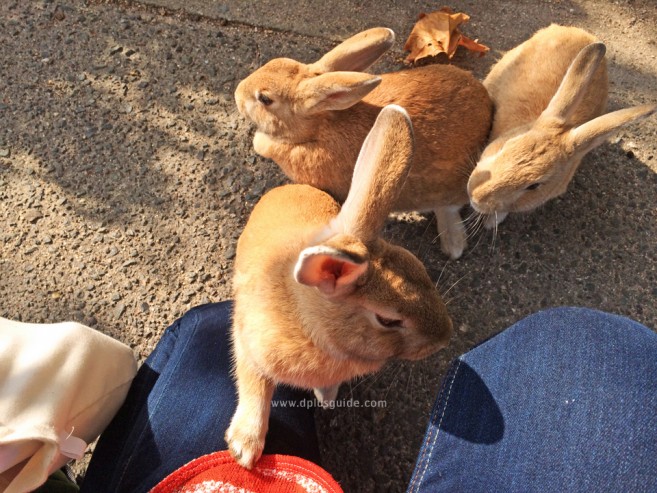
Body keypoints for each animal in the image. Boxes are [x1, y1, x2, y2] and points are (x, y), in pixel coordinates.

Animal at [224, 105, 452, 468]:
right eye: (388, 320)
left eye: (417, 264)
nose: (445, 338)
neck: (314, 327)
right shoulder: (249, 344)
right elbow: (254, 385)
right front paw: (245, 449)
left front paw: (327, 397)